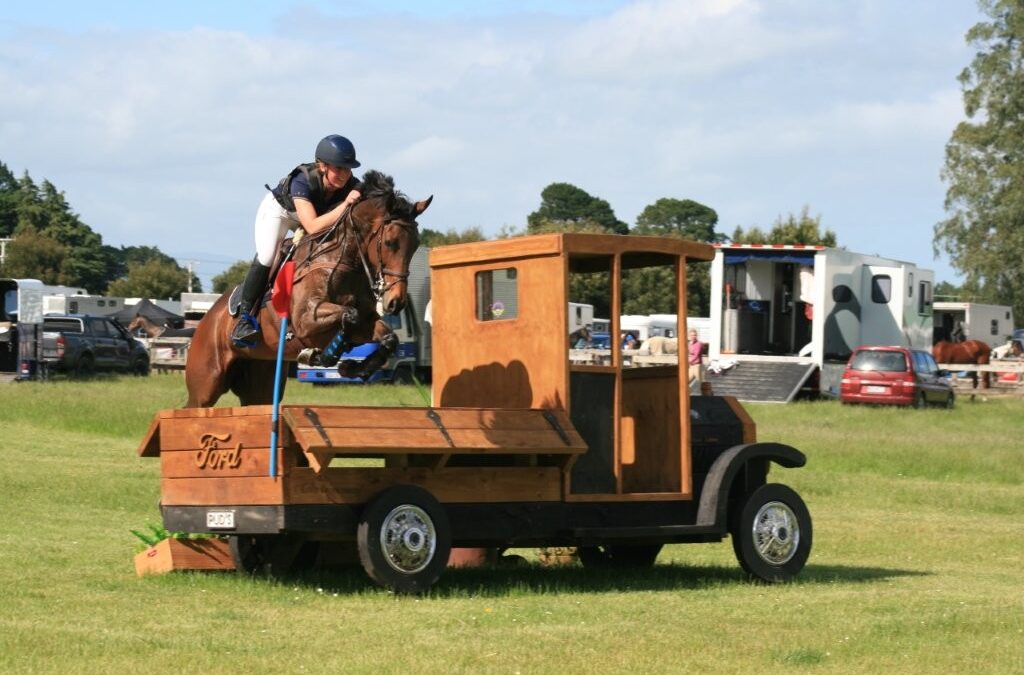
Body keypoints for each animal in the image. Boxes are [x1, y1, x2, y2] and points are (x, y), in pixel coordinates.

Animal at [186, 172, 430, 409]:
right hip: (206, 385)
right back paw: (245, 328)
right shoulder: (305, 319)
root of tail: (206, 319)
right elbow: (350, 314)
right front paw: (324, 356)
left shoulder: (365, 322)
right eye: (390, 243)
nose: (396, 302)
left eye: (416, 245)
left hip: (260, 381)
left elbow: (388, 338)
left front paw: (351, 367)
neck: (342, 261)